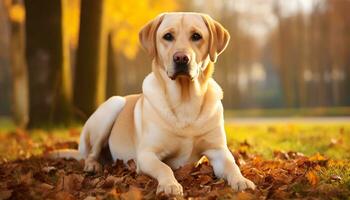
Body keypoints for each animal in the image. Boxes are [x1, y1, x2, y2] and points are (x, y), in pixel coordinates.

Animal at [56, 12, 256, 195]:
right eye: (168, 36)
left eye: (196, 36)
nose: (181, 58)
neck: (185, 101)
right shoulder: (146, 154)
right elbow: (164, 167)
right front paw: (170, 185)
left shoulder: (218, 150)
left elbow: (232, 164)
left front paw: (242, 180)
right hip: (112, 105)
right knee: (90, 153)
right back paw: (92, 165)